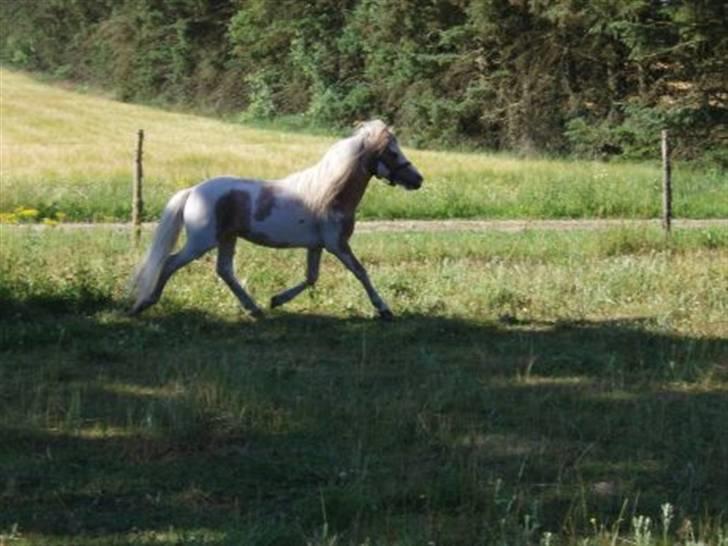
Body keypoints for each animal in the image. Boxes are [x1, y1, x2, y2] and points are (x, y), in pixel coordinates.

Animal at [131, 117, 424, 316]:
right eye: (393, 152)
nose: (418, 180)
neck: (329, 194)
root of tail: (193, 191)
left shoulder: (317, 246)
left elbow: (311, 277)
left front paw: (275, 300)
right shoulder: (337, 245)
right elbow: (360, 272)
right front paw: (384, 310)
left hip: (227, 238)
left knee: (224, 270)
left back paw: (255, 309)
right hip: (201, 241)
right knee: (170, 262)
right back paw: (144, 304)